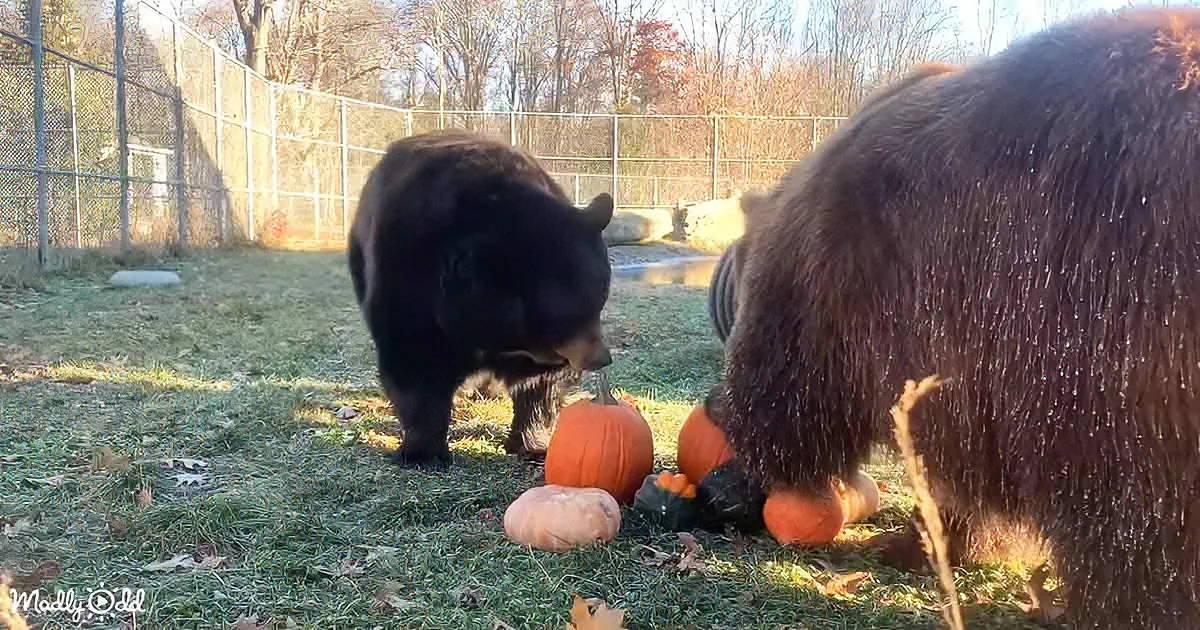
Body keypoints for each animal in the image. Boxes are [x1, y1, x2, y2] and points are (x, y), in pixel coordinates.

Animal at [347, 129, 615, 469]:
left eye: (601, 293)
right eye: (563, 312)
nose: (601, 358)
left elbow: (540, 385)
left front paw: (534, 443)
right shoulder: (407, 279)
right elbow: (416, 367)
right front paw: (424, 453)